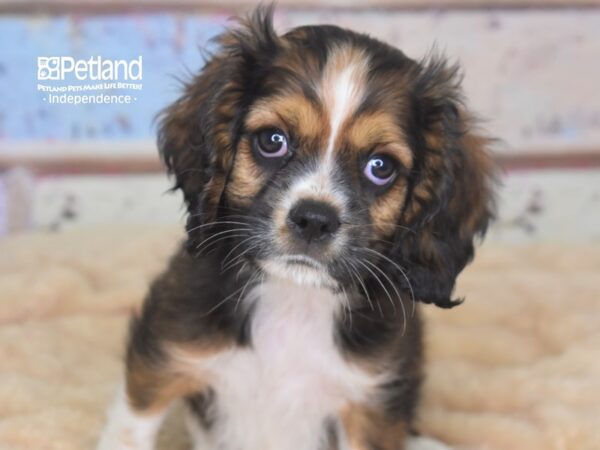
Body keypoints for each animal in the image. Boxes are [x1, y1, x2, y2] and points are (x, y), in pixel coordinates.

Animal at [98, 7, 496, 450]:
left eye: (381, 167)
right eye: (272, 140)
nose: (314, 219)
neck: (294, 300)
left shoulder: (373, 403)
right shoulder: (163, 353)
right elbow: (131, 427)